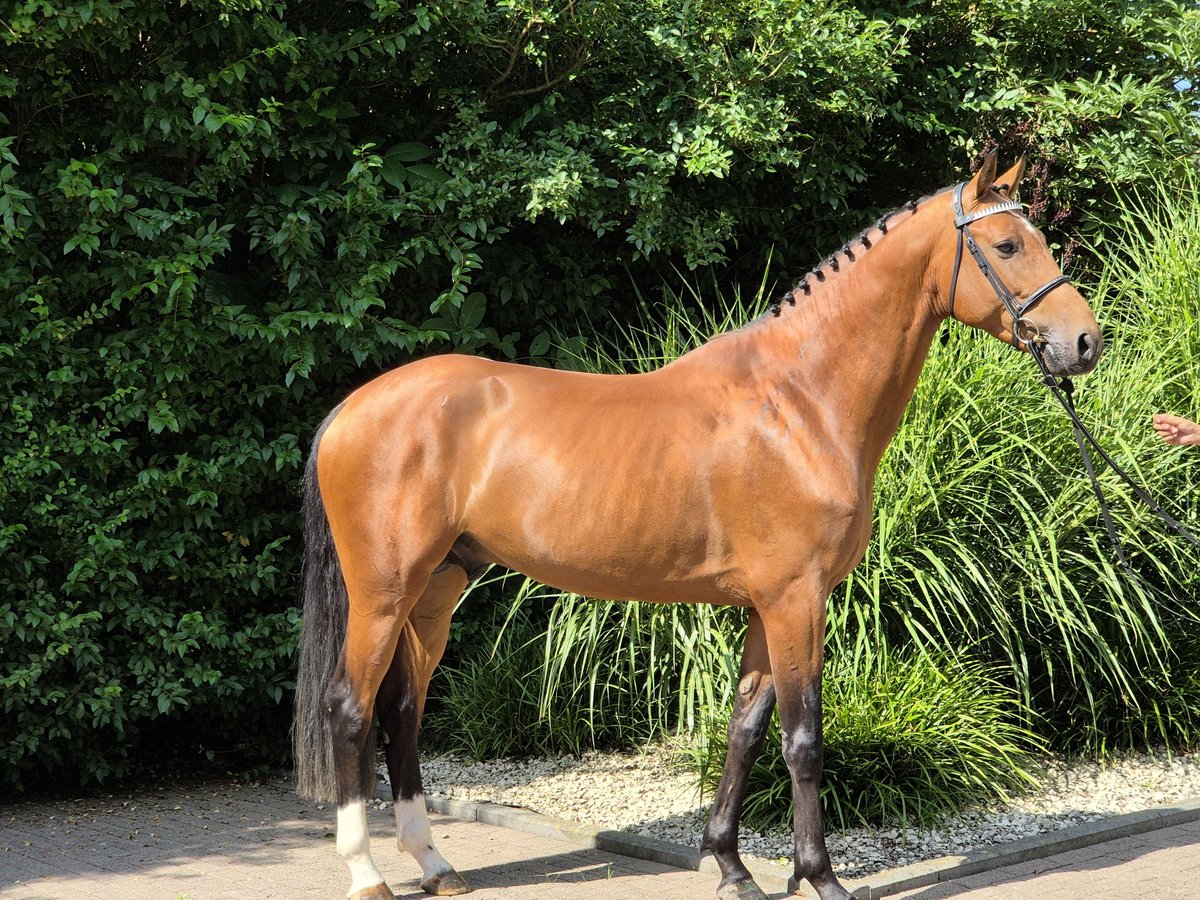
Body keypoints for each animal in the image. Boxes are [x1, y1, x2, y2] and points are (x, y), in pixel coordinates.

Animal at [295, 157, 1099, 900]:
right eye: (1004, 244)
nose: (1085, 342)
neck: (800, 400)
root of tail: (351, 408)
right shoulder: (797, 600)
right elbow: (803, 742)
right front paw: (820, 878)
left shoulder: (766, 608)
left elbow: (744, 733)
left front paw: (731, 867)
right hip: (383, 594)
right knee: (350, 707)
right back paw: (366, 873)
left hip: (436, 590)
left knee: (402, 710)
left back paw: (434, 865)